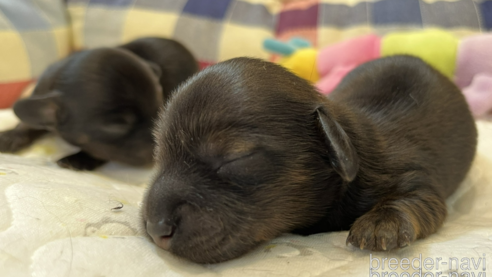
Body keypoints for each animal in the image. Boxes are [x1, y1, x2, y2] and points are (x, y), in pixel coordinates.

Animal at [0, 37, 198, 170]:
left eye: (160, 111)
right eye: (118, 124)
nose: (162, 145)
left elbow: (101, 151)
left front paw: (79, 159)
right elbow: (27, 122)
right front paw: (11, 136)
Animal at [141, 55, 476, 262]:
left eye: (235, 158)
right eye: (158, 153)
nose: (155, 229)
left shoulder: (414, 176)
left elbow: (419, 199)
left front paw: (382, 222)